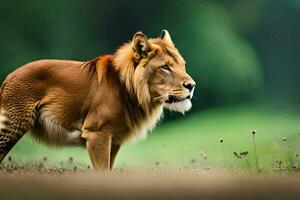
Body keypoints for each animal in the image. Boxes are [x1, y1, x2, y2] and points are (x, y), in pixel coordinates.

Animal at [0, 29, 195, 170]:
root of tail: (9, 77)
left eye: (183, 65)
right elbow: (102, 171)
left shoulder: (114, 140)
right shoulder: (96, 133)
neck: (130, 90)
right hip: (12, 126)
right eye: (165, 67)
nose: (192, 85)